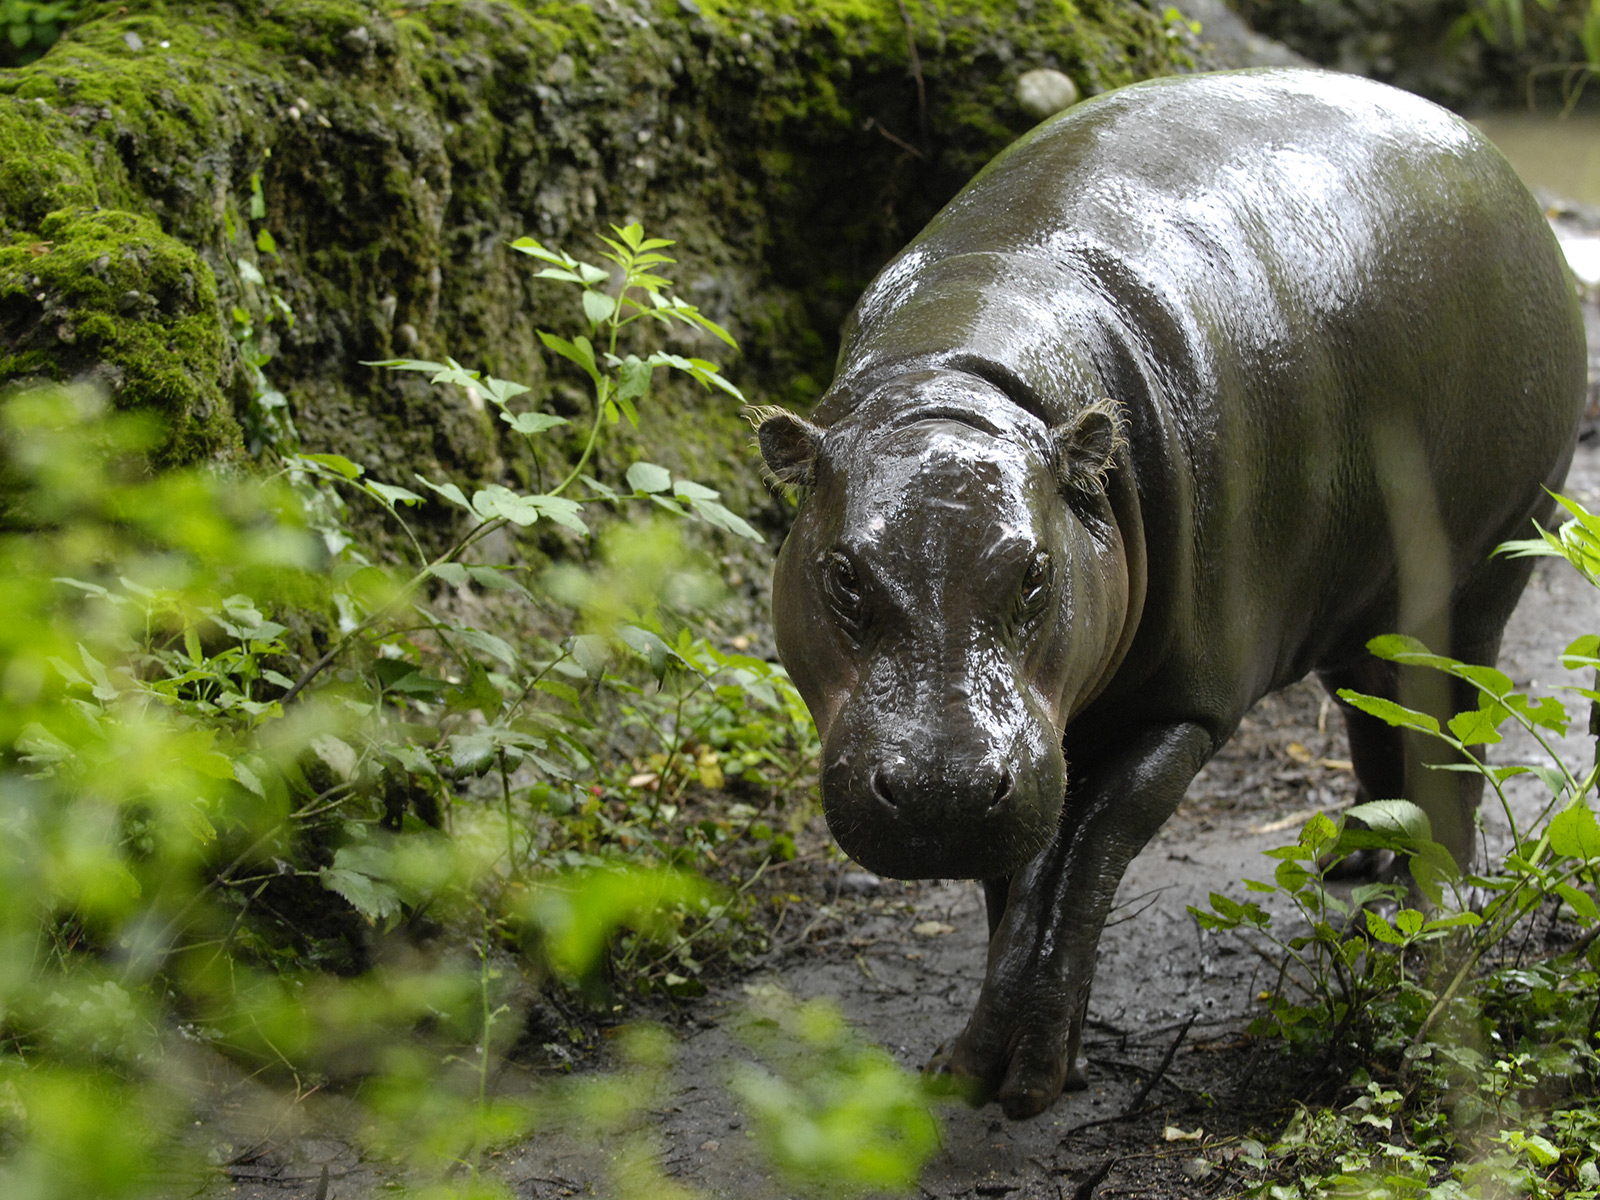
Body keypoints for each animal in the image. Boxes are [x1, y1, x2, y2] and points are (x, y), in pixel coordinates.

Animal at [755, 70, 1580, 1126]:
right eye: (843, 575)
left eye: (1035, 571)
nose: (942, 789)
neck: (964, 385)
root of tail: (1484, 150)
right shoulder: (1035, 749)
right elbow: (1018, 874)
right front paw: (998, 1061)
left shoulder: (1181, 707)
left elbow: (1086, 851)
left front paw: (1018, 1074)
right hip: (1365, 597)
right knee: (1374, 703)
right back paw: (1360, 856)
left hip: (1489, 557)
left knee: (1454, 723)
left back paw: (1425, 903)